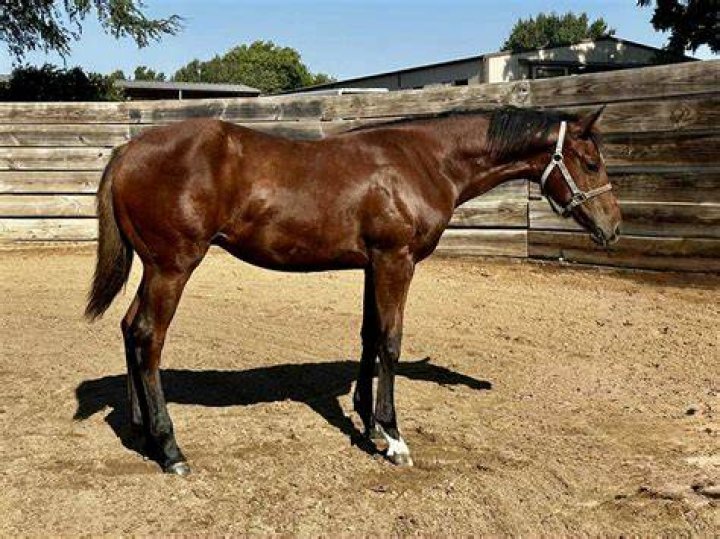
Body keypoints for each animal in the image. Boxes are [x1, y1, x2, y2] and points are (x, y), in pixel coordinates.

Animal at [85, 105, 621, 475]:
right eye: (591, 162)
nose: (613, 227)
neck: (424, 161)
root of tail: (128, 150)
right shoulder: (395, 261)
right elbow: (390, 341)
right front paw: (395, 438)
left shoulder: (372, 264)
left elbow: (368, 336)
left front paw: (368, 422)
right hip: (172, 267)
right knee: (149, 337)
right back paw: (170, 449)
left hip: (155, 268)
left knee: (129, 328)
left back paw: (141, 432)